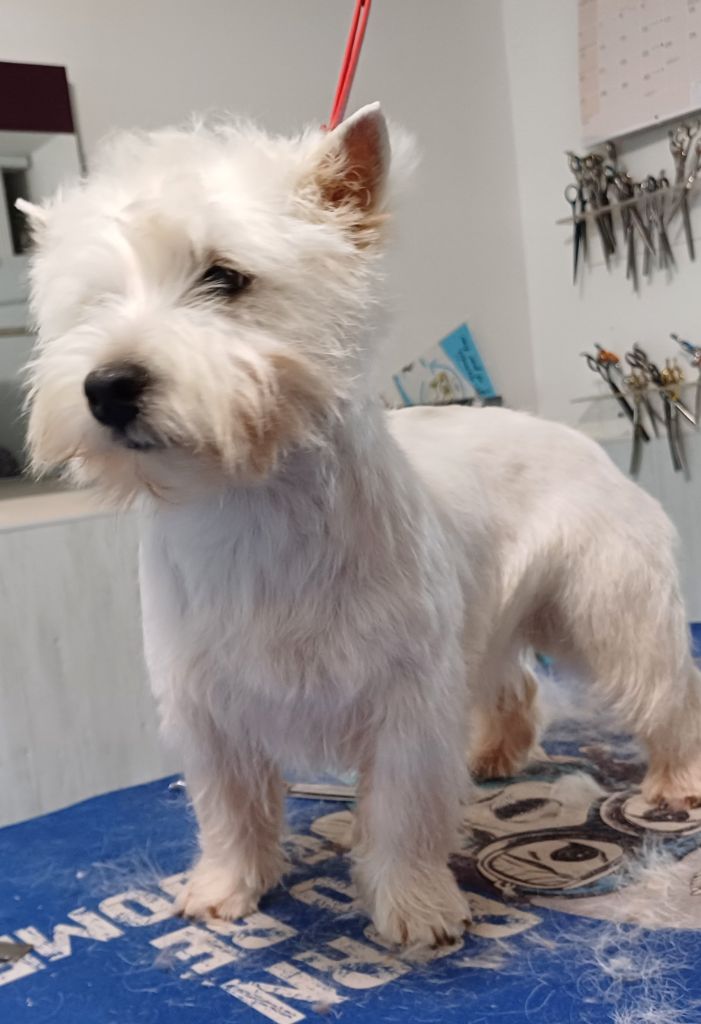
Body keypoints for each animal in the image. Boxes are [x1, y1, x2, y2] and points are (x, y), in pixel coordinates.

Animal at [20, 103, 701, 948]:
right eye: (93, 302)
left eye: (224, 277)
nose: (107, 387)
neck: (247, 499)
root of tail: (573, 437)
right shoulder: (207, 704)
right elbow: (229, 807)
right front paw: (225, 888)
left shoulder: (402, 697)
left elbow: (403, 813)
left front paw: (415, 906)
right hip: (487, 621)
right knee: (513, 683)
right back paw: (492, 753)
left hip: (607, 609)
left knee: (664, 688)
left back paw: (674, 780)